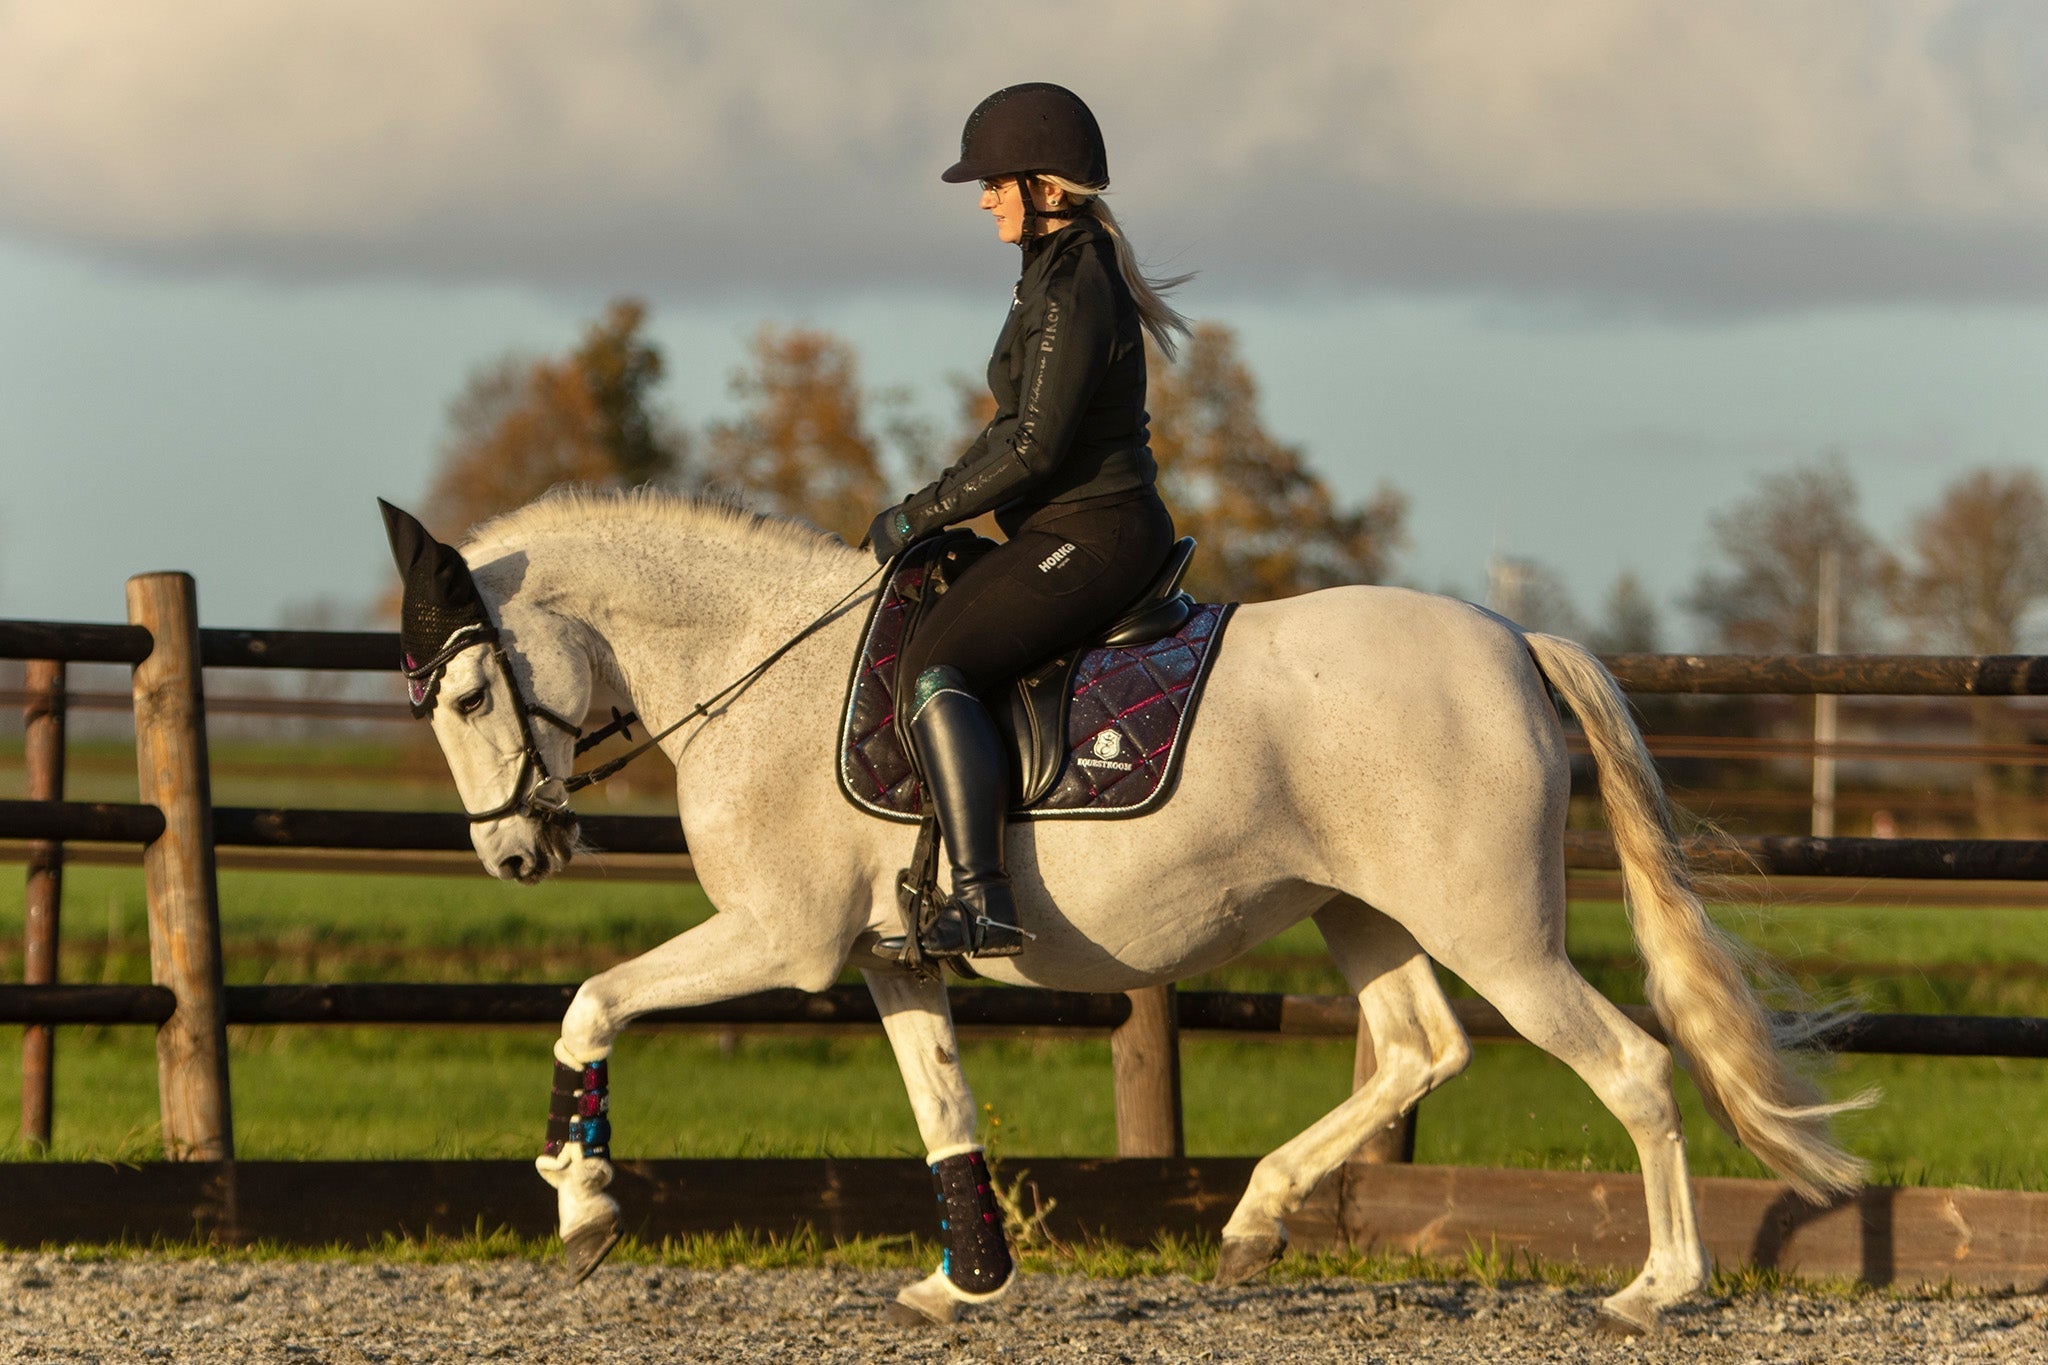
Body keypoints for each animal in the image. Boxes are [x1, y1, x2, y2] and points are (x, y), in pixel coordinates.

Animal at [387, 491, 1875, 1334]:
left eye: (466, 694)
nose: (513, 853)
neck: (760, 671)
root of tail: (1509, 639)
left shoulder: (780, 937)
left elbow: (590, 1004)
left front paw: (580, 1200)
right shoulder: (885, 959)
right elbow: (944, 1107)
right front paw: (966, 1283)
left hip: (1494, 932)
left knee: (1629, 1067)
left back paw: (1656, 1289)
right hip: (1362, 915)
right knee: (1419, 1049)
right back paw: (1254, 1221)